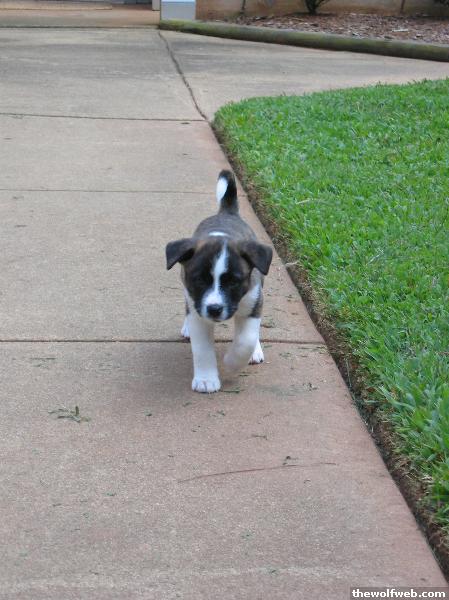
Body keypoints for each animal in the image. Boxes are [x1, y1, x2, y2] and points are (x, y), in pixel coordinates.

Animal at [165, 170, 273, 393]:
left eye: (233, 282)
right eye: (199, 280)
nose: (214, 309)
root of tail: (227, 213)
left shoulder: (253, 300)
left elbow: (246, 339)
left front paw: (233, 361)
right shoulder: (198, 311)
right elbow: (202, 348)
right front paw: (206, 379)